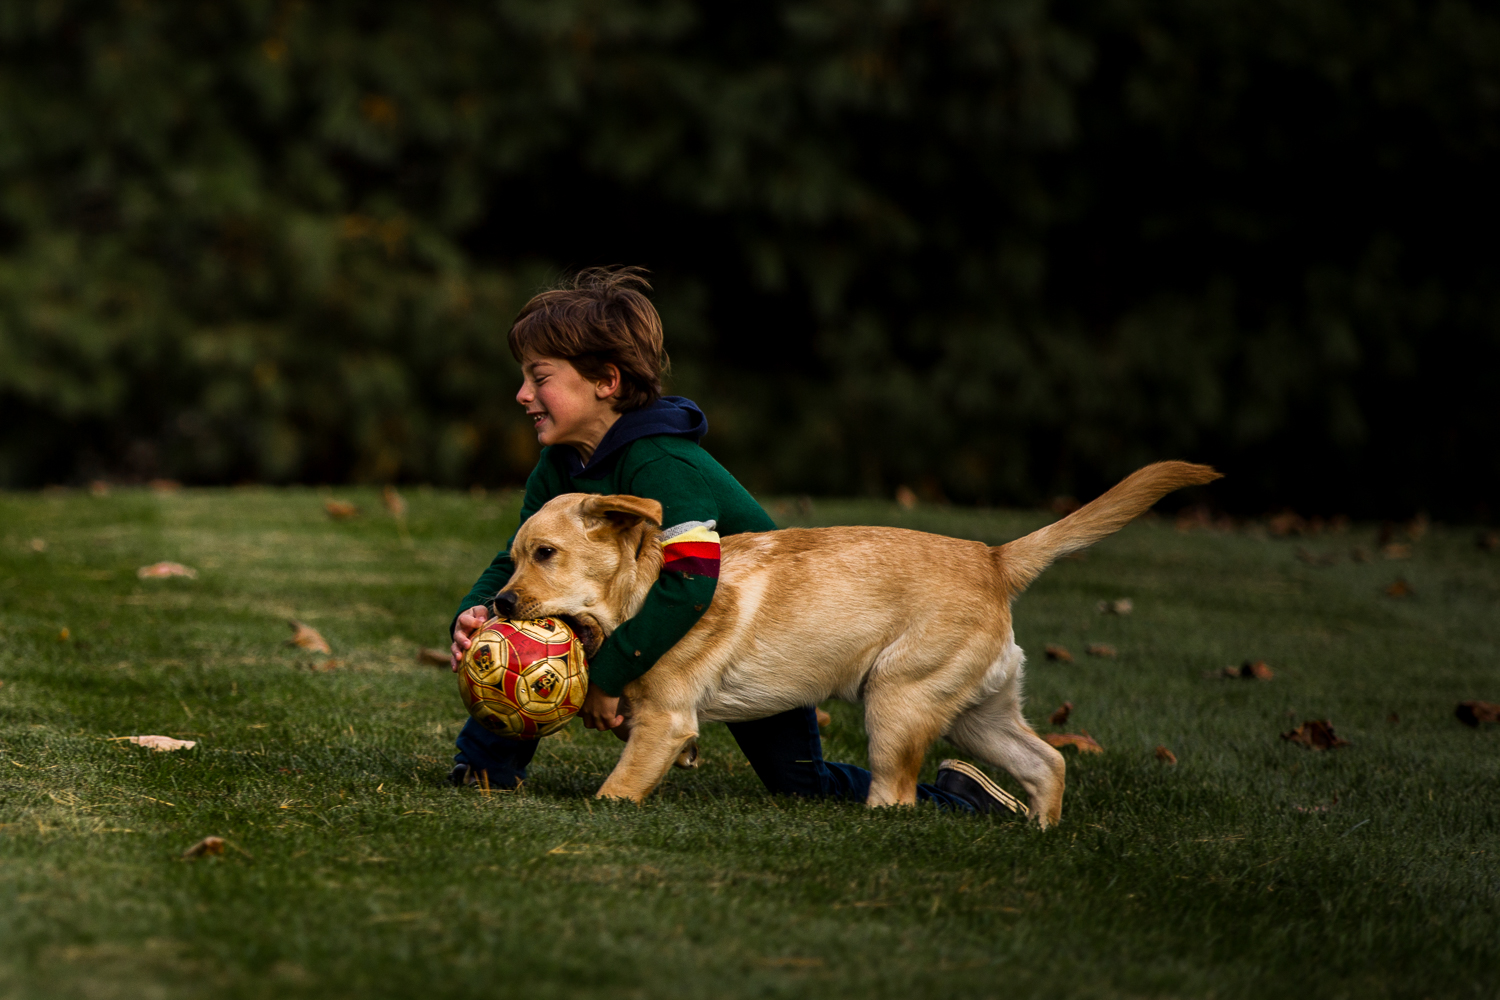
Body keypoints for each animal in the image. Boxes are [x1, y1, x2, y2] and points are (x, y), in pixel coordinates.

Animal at [492, 461, 1218, 827]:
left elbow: (616, 789)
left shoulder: (666, 721)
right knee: (1048, 762)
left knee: (898, 795)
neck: (640, 593)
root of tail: (993, 558)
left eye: (545, 554)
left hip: (897, 700)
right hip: (977, 714)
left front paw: (603, 805)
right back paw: (1039, 831)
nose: (498, 604)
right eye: (514, 559)